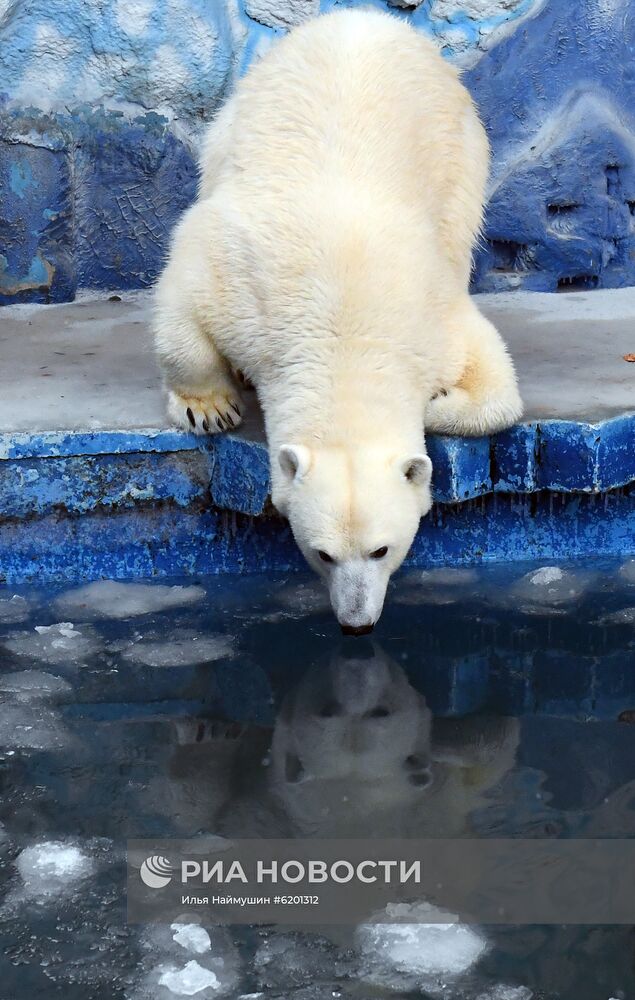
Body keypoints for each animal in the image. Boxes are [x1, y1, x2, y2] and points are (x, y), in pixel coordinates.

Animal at [154, 7, 520, 632]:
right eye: (321, 553)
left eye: (382, 549)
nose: (357, 622)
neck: (343, 330)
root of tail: (365, 17)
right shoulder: (240, 278)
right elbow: (185, 299)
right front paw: (210, 407)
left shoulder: (433, 313)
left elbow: (495, 383)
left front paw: (439, 402)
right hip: (236, 119)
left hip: (462, 151)